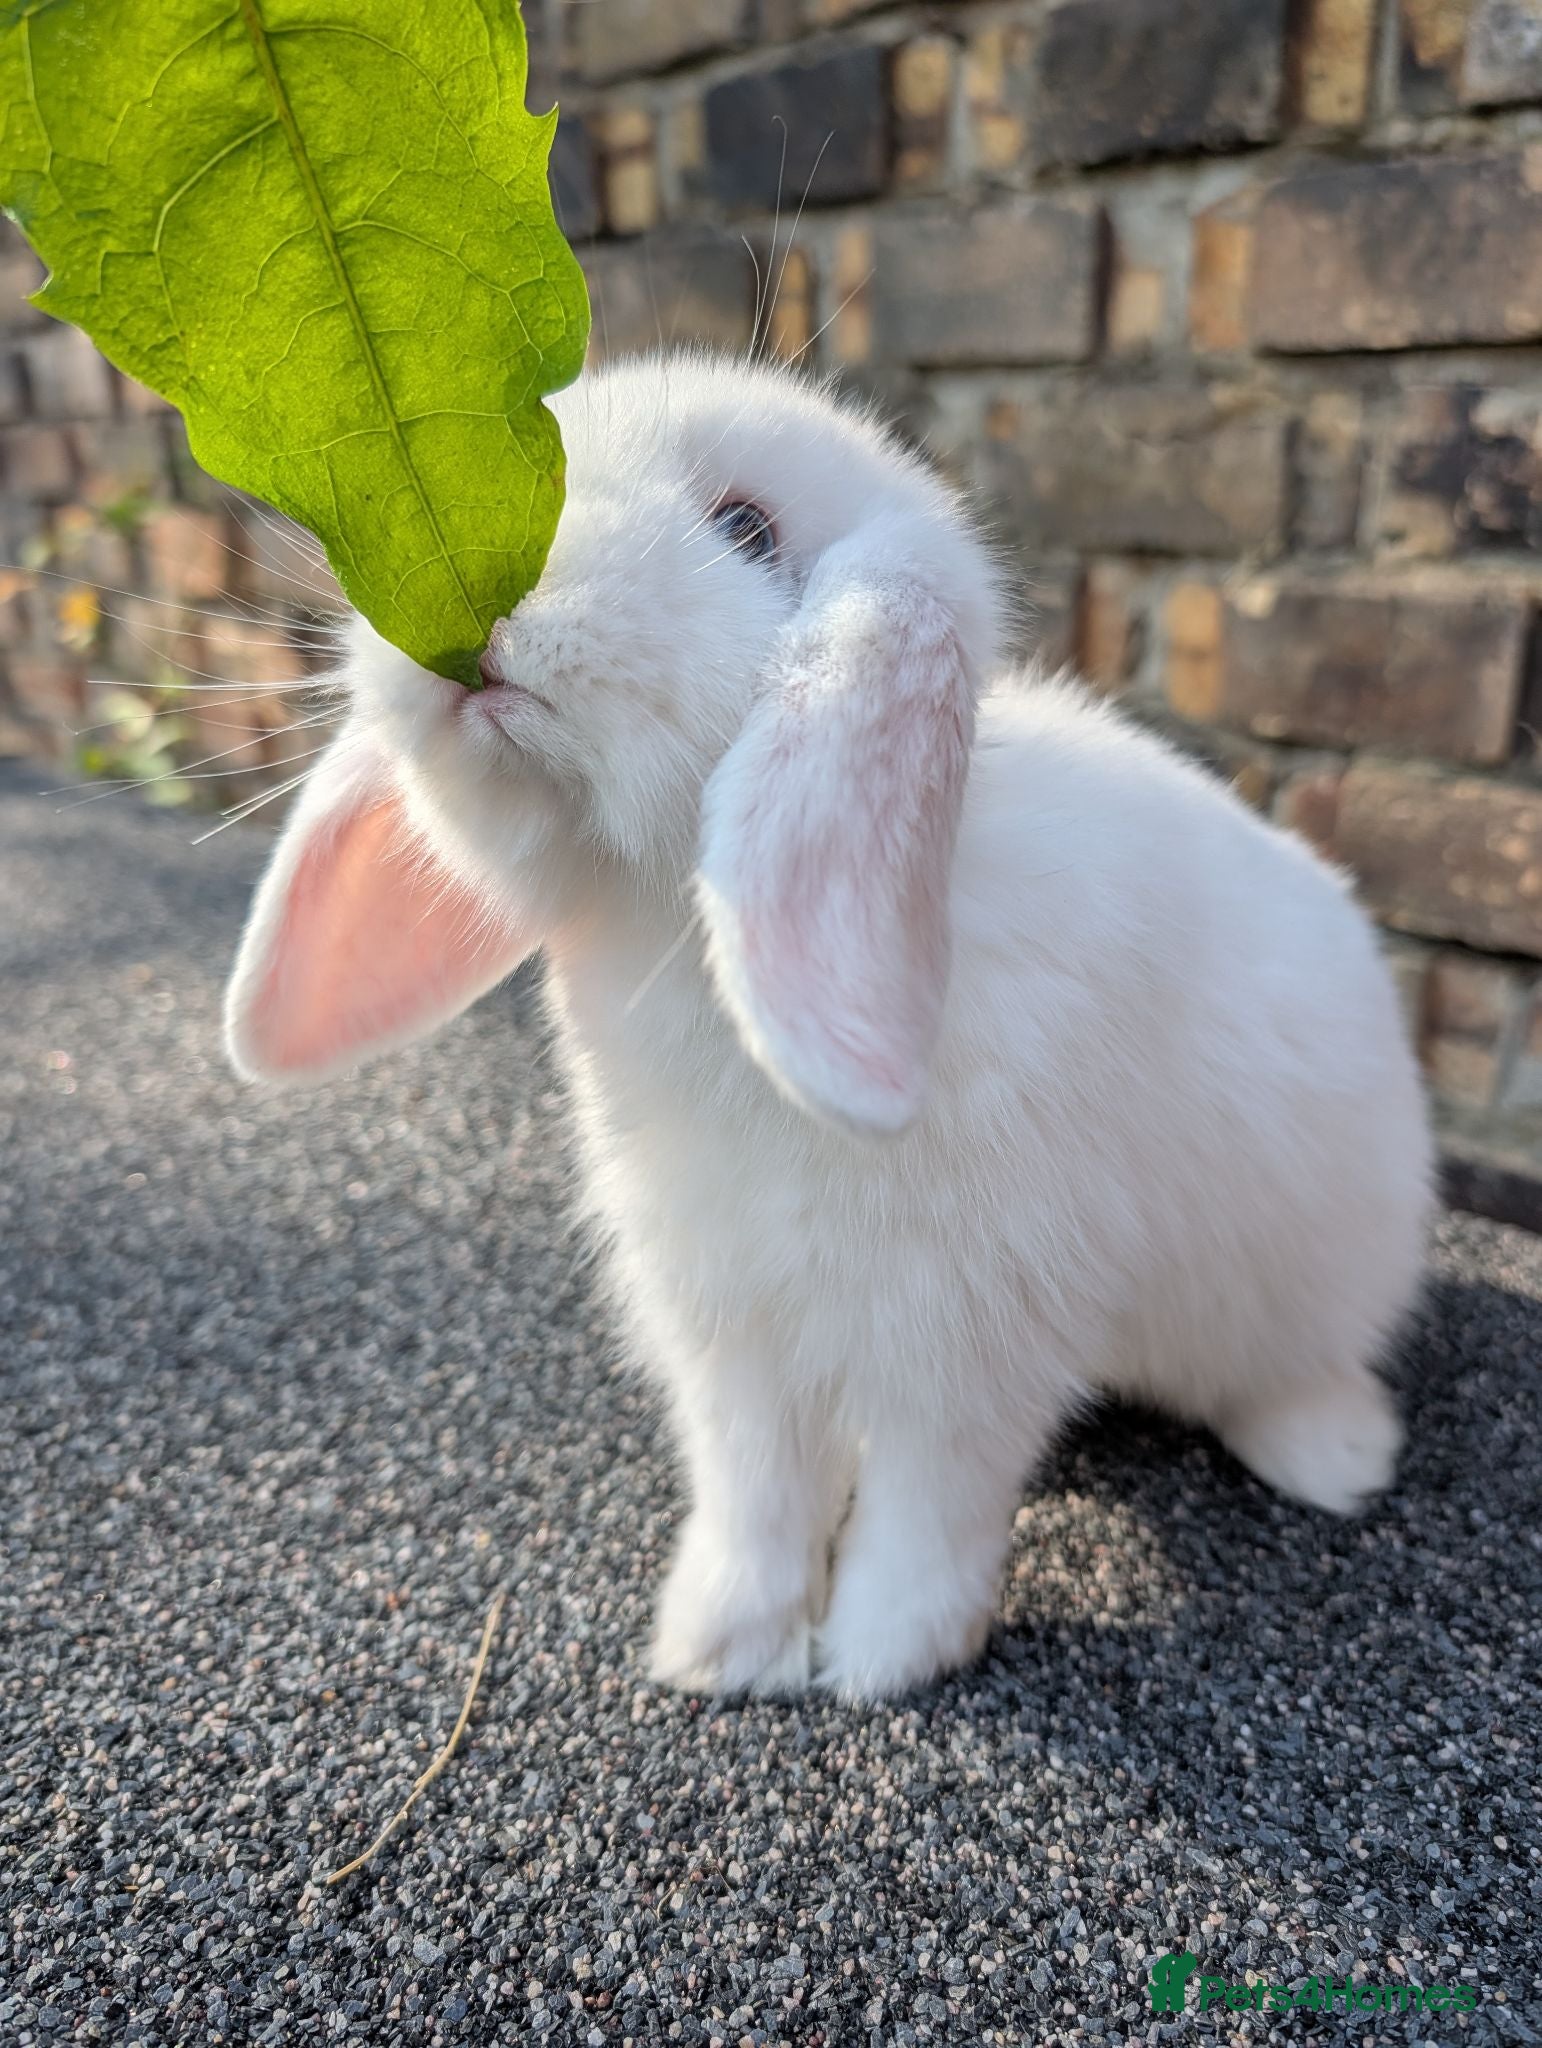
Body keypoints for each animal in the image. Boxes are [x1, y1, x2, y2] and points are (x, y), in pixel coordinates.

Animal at [224, 350, 1434, 1703]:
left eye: (748, 529)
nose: (471, 599)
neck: (689, 948)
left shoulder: (966, 1335)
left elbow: (931, 1509)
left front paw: (883, 1660)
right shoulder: (731, 1332)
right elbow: (755, 1491)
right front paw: (723, 1648)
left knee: (1299, 1368)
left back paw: (1336, 1458)